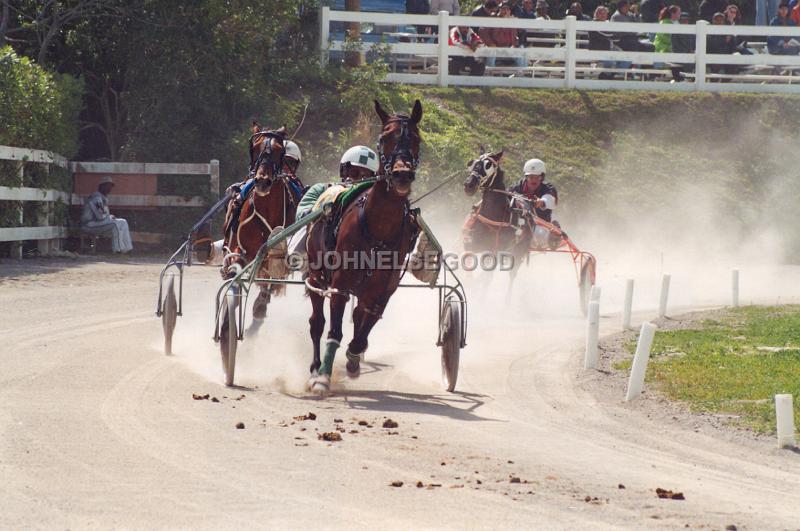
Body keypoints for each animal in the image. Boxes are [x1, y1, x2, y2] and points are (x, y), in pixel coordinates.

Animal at [304, 100, 422, 392]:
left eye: (416, 138)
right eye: (385, 137)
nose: (402, 174)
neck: (379, 226)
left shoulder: (384, 288)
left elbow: (363, 331)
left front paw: (353, 359)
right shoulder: (341, 281)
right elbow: (334, 330)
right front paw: (322, 377)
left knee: (358, 317)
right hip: (316, 273)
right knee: (317, 322)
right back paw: (315, 367)